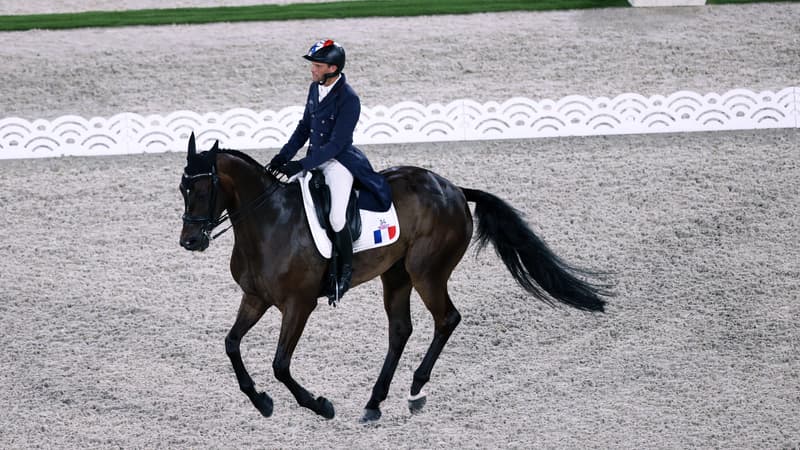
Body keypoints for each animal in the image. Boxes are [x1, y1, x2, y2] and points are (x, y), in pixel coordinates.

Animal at [177, 133, 612, 422]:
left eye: (204, 187)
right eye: (182, 187)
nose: (190, 241)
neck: (270, 224)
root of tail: (454, 189)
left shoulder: (298, 305)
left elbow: (281, 364)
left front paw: (320, 405)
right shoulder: (256, 298)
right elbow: (231, 344)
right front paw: (261, 401)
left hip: (426, 272)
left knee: (447, 319)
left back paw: (416, 390)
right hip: (396, 275)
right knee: (401, 329)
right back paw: (374, 402)